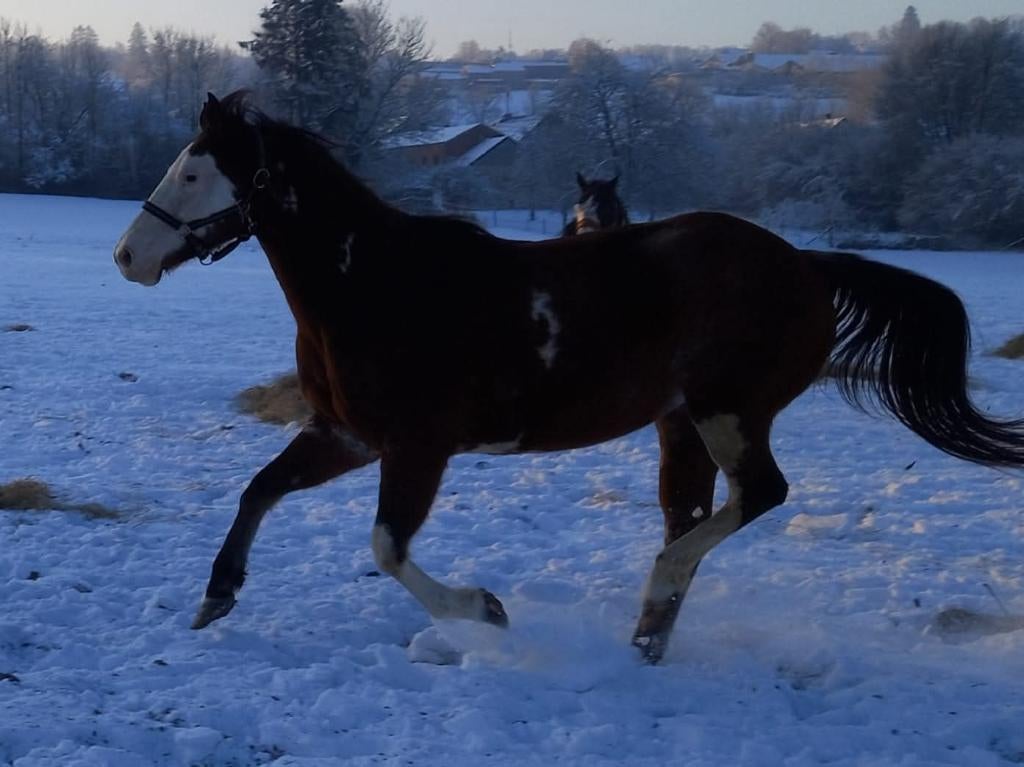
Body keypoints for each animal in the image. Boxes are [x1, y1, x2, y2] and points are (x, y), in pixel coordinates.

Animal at [113, 92, 1024, 664]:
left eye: (192, 173)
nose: (127, 256)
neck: (373, 284)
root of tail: (806, 265)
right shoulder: (345, 434)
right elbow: (259, 489)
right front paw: (217, 595)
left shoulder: (417, 446)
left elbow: (387, 547)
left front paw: (486, 609)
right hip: (681, 423)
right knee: (696, 515)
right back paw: (649, 633)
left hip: (729, 410)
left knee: (758, 495)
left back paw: (655, 593)